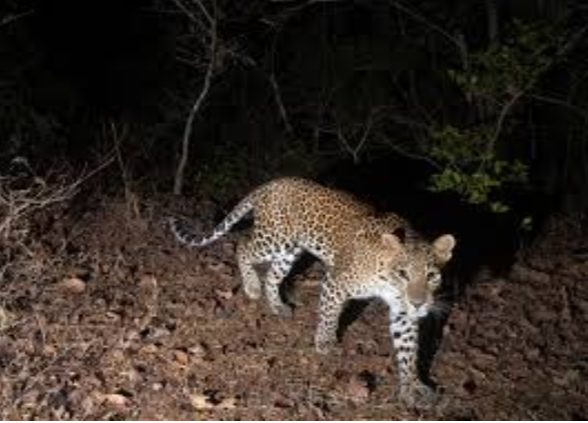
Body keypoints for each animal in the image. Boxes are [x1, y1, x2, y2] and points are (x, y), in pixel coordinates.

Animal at [169, 177, 456, 407]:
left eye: (432, 276)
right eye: (403, 273)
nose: (419, 303)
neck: (386, 278)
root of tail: (272, 183)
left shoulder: (402, 312)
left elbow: (408, 350)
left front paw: (412, 387)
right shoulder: (335, 283)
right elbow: (329, 315)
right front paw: (325, 342)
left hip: (288, 251)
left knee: (272, 276)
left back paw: (277, 306)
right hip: (273, 240)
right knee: (243, 246)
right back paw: (251, 287)